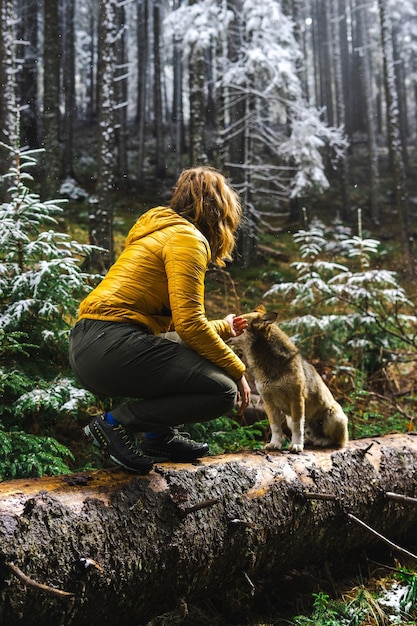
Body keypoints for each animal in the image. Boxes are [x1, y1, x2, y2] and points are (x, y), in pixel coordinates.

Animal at [234, 304, 348, 450]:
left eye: (238, 322)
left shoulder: (296, 399)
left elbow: (296, 427)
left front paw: (297, 445)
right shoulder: (268, 403)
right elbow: (275, 427)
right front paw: (274, 444)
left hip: (332, 416)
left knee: (340, 442)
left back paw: (322, 441)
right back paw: (309, 441)